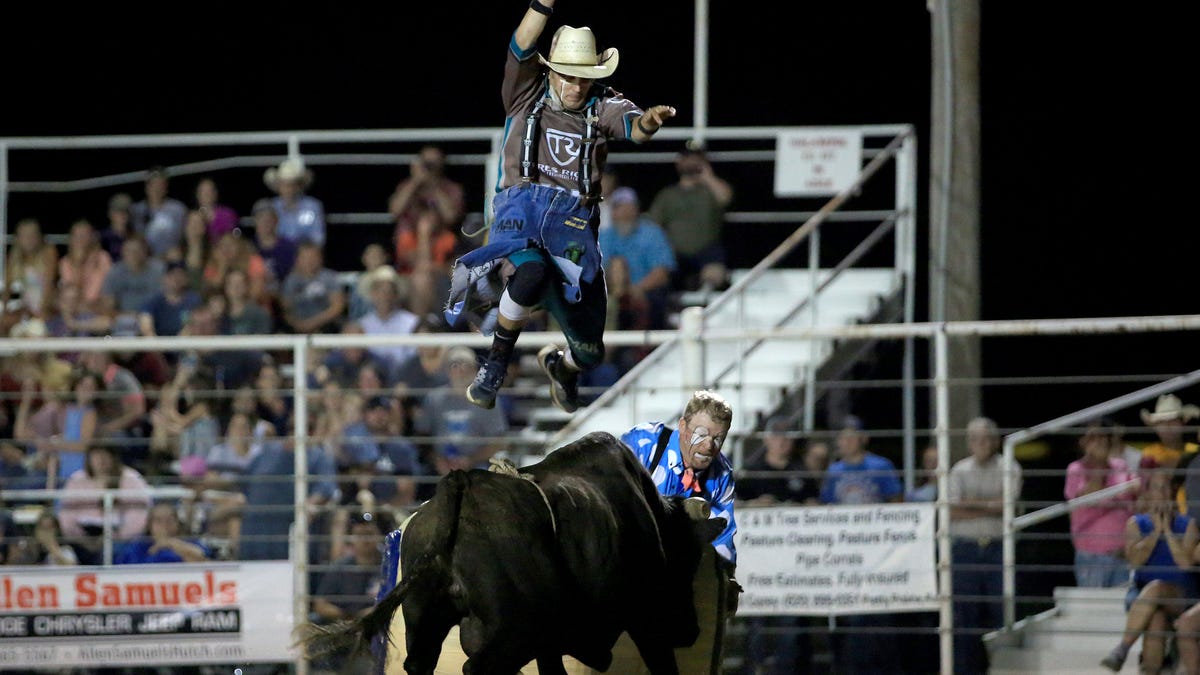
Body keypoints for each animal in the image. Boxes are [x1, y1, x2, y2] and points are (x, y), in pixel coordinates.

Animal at [304, 429, 724, 672]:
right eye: (688, 561)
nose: (690, 631)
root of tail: (462, 485)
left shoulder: (550, 644)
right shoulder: (645, 620)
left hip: (426, 621)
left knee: (420, 663)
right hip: (517, 632)